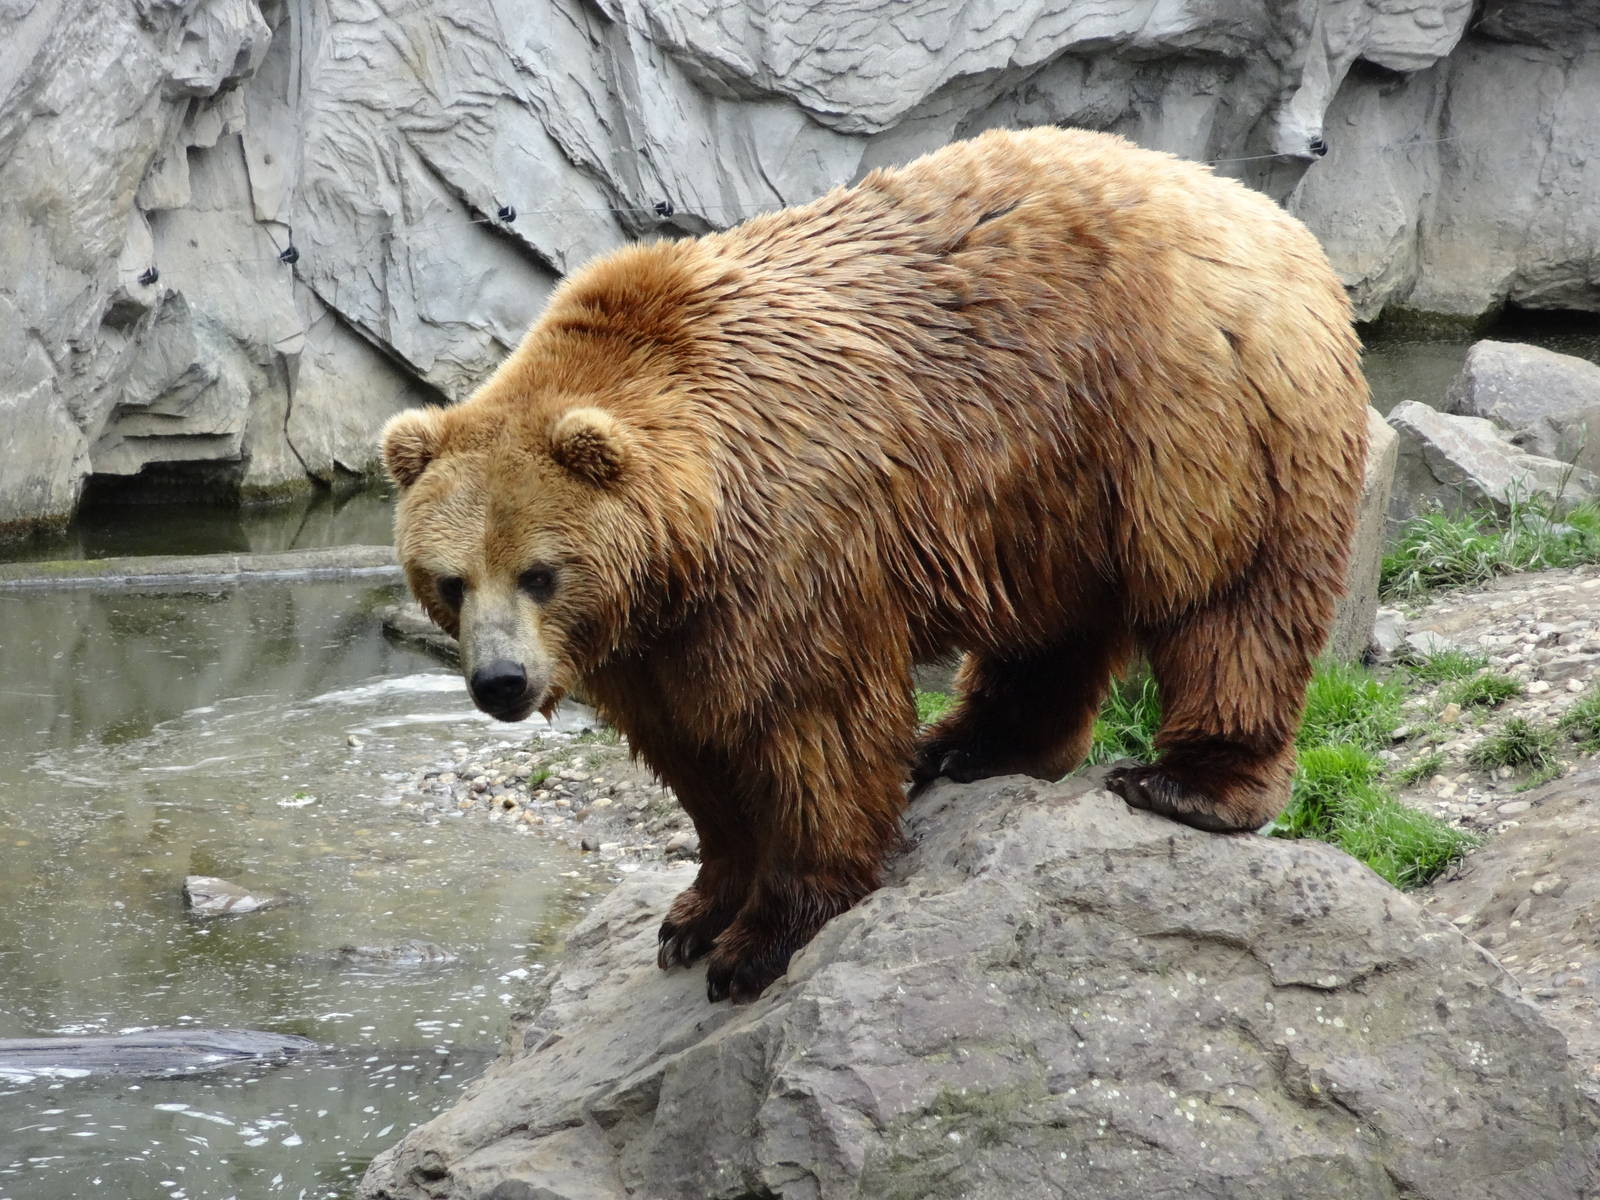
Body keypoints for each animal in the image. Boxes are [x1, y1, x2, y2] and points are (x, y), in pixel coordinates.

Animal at [381, 126, 1369, 1003]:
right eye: (451, 581)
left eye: (539, 572)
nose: (500, 682)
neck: (688, 539)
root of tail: (1261, 212)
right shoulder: (653, 637)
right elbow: (695, 752)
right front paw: (692, 915)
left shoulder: (786, 546)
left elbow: (809, 726)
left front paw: (760, 942)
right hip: (1051, 492)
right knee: (1052, 626)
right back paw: (971, 743)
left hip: (1187, 421)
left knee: (1231, 597)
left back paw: (1188, 782)